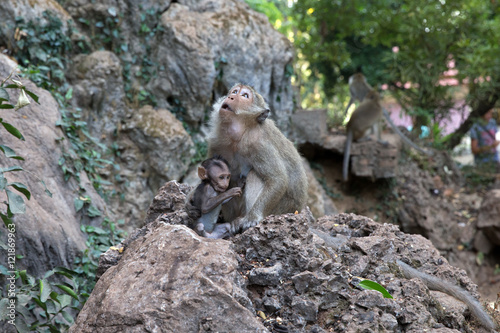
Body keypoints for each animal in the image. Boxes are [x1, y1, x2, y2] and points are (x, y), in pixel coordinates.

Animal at [207, 83, 308, 233]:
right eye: (234, 92)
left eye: (245, 96)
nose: (231, 97)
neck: (240, 135)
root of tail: (297, 210)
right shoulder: (216, 144)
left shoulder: (259, 144)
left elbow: (277, 179)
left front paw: (252, 218)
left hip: (281, 209)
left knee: (254, 175)